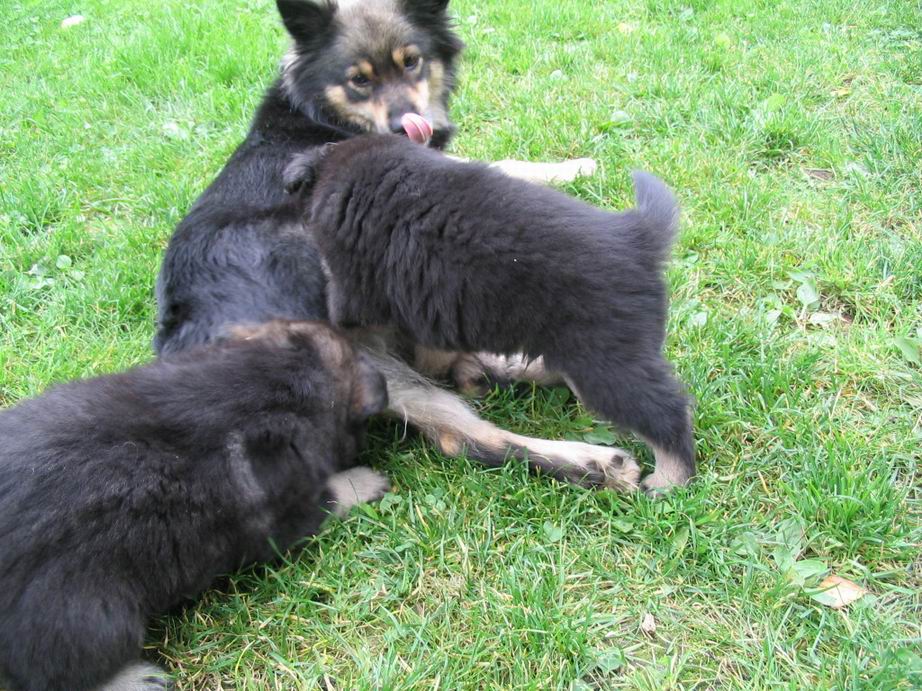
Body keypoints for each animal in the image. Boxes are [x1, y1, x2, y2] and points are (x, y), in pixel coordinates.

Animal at [0, 321, 390, 691]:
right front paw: (363, 482)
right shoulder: (286, 517)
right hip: (96, 620)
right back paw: (135, 679)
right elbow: (329, 494)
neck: (264, 379)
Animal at [154, 0, 636, 493]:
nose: (405, 126)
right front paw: (572, 168)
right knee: (464, 433)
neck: (320, 113)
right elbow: (497, 166)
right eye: (358, 80)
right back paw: (590, 459)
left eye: (411, 62)